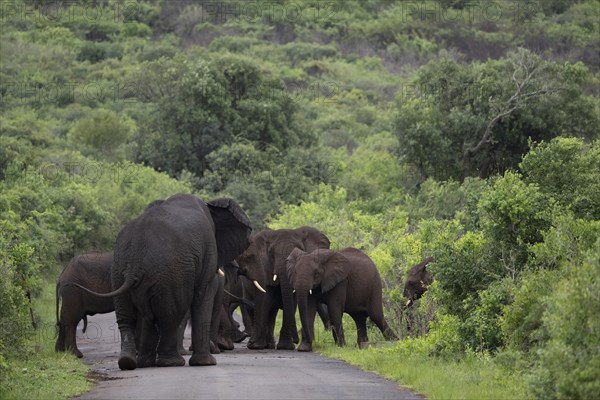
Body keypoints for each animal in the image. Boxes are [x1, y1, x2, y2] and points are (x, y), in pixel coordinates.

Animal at [69, 195, 250, 370]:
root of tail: (134, 261)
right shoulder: (208, 251)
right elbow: (203, 294)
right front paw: (206, 363)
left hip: (120, 270)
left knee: (129, 316)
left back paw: (133, 363)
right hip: (169, 273)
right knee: (170, 315)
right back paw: (171, 363)